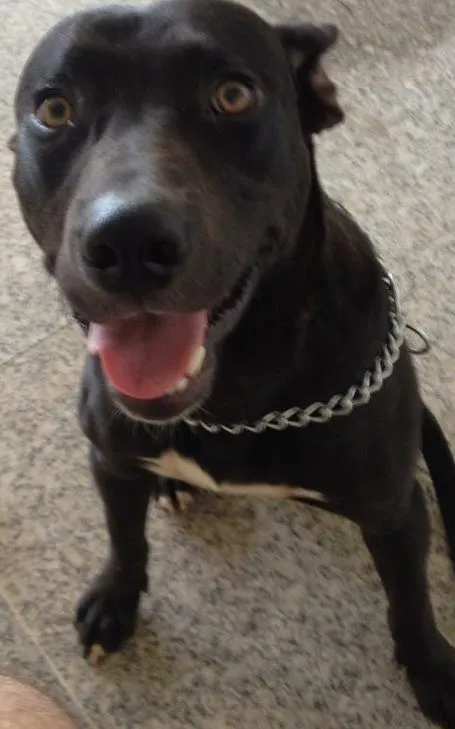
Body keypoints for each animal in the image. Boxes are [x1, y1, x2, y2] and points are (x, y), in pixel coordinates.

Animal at [10, 1, 455, 725]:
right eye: (54, 109)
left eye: (233, 96)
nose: (128, 241)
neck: (234, 401)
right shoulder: (110, 459)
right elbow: (124, 538)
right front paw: (115, 601)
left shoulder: (394, 510)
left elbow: (410, 597)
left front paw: (432, 667)